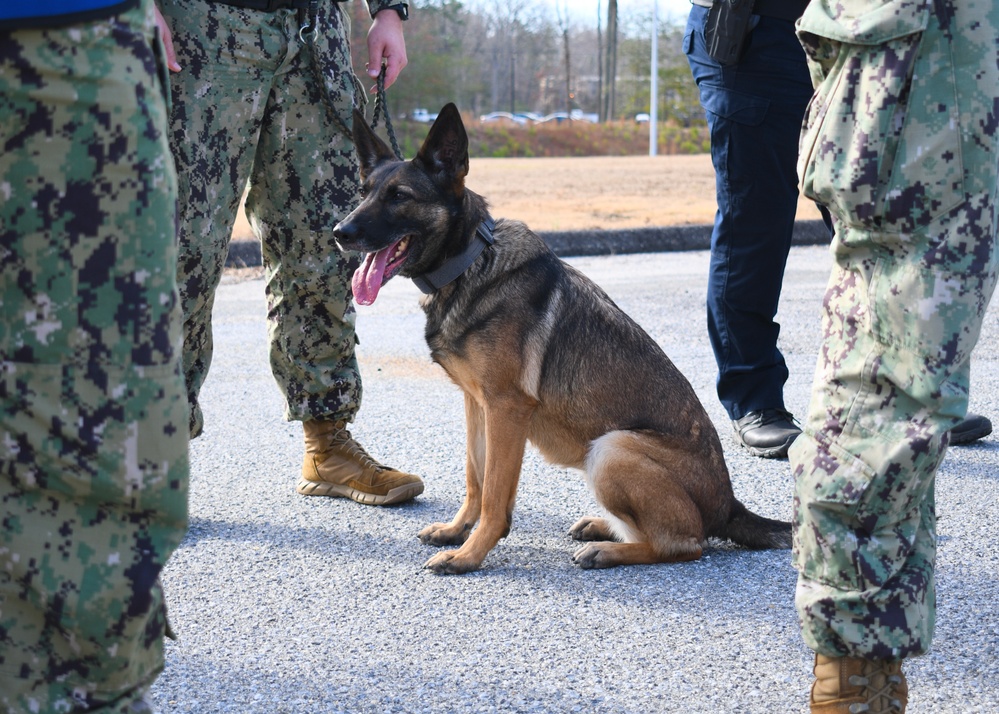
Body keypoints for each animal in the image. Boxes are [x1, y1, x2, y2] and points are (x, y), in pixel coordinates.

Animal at [334, 103, 788, 572]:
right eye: (363, 192)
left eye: (400, 196)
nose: (339, 233)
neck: (471, 262)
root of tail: (729, 505)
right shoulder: (477, 405)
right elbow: (475, 478)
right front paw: (457, 531)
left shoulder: (506, 409)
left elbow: (494, 494)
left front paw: (469, 555)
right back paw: (602, 527)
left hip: (611, 447)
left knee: (685, 544)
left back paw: (608, 550)